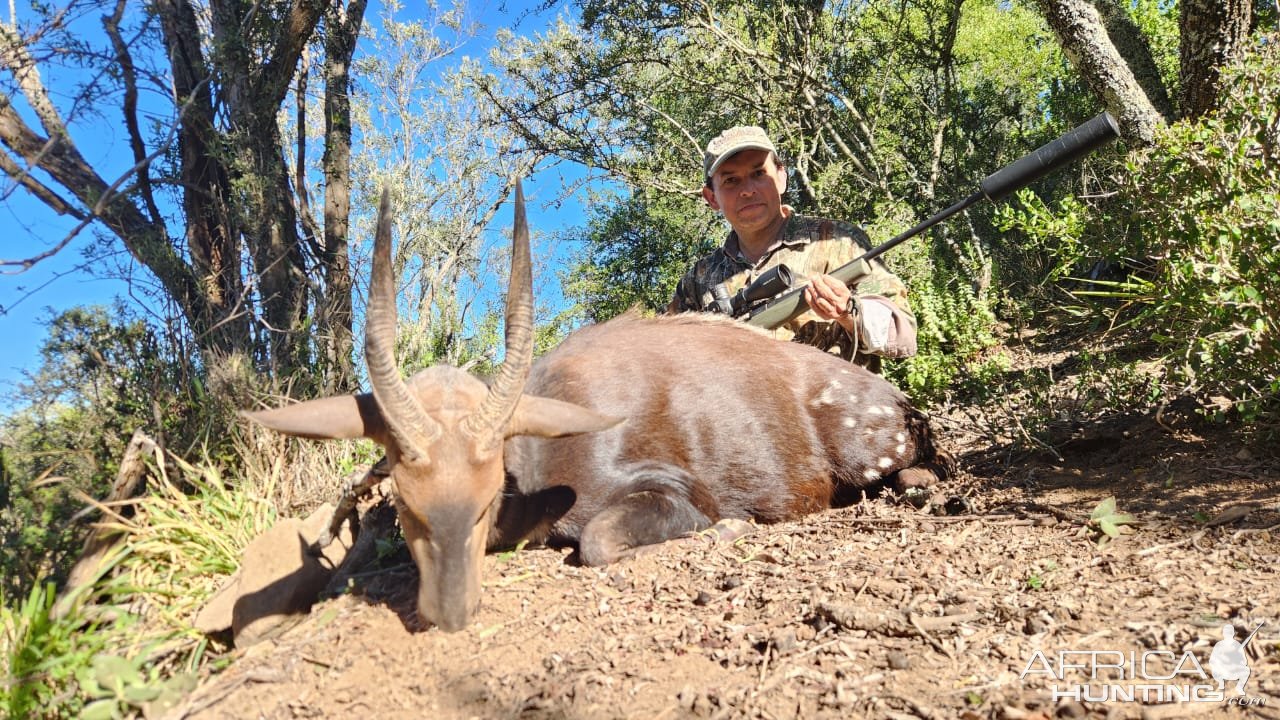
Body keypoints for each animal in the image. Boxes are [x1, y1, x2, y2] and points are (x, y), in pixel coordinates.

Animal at [244, 181, 952, 630]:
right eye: (407, 503)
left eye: (484, 501)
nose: (450, 612)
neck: (537, 462)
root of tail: (898, 402)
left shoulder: (669, 489)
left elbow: (598, 542)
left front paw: (733, 528)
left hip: (869, 449)